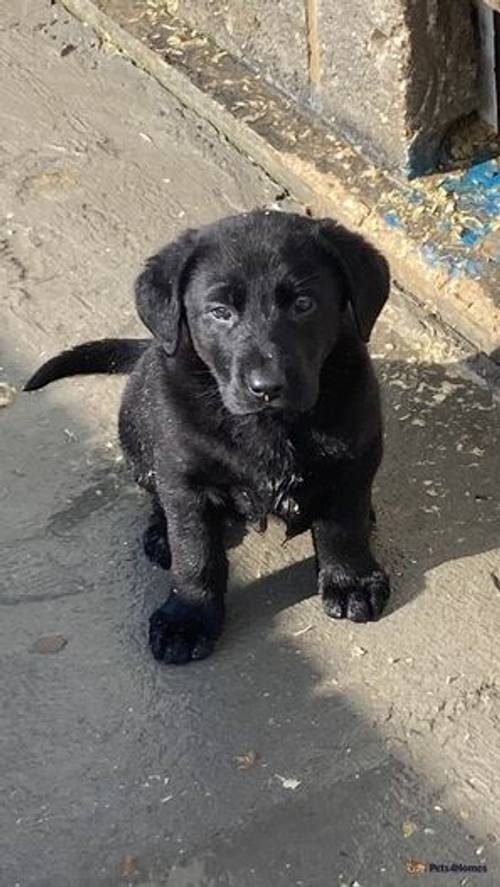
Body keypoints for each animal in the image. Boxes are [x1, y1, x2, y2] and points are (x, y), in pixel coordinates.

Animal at [25, 212, 390, 664]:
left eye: (304, 305)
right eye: (220, 312)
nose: (266, 387)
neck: (270, 425)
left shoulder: (355, 456)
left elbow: (343, 523)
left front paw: (350, 579)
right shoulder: (186, 479)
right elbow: (195, 553)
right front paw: (188, 617)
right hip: (139, 435)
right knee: (157, 496)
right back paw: (160, 532)